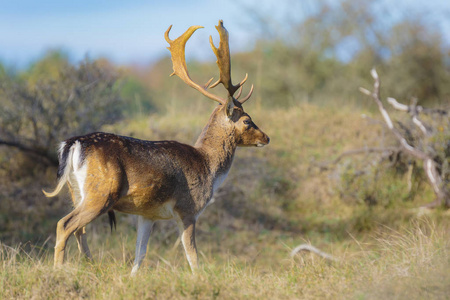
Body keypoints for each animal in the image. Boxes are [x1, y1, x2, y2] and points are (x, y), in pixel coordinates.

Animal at [42, 19, 268, 276]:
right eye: (247, 120)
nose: (266, 137)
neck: (207, 166)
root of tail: (73, 143)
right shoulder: (187, 208)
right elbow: (192, 256)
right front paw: (198, 278)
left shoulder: (147, 214)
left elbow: (140, 253)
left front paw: (131, 278)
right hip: (101, 191)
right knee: (65, 224)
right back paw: (59, 270)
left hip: (76, 191)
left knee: (79, 230)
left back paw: (91, 266)